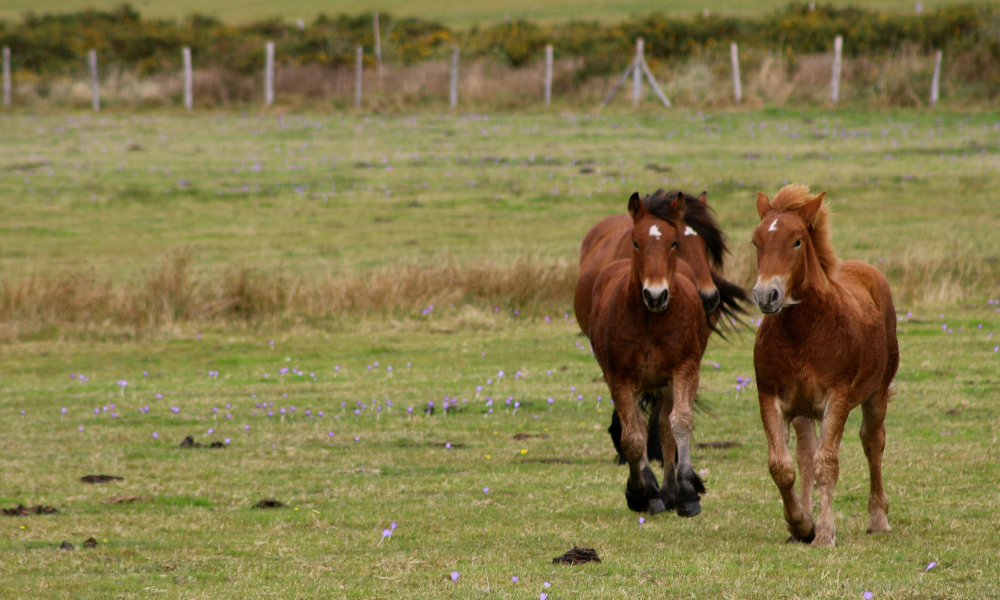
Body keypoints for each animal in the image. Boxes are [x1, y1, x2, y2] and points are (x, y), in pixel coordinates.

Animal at [590, 191, 710, 516]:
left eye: (673, 242)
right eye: (635, 241)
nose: (656, 295)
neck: (650, 321)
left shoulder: (685, 370)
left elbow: (680, 423)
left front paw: (687, 491)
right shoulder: (620, 380)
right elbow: (632, 438)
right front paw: (640, 492)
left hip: (666, 384)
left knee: (666, 429)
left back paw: (670, 490)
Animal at [751, 184, 899, 547]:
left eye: (796, 241)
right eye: (756, 241)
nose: (766, 295)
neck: (802, 334)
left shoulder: (837, 398)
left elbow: (827, 463)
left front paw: (825, 534)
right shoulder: (771, 398)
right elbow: (783, 466)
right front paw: (801, 524)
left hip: (877, 393)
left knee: (873, 443)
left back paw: (878, 518)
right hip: (804, 410)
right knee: (805, 454)